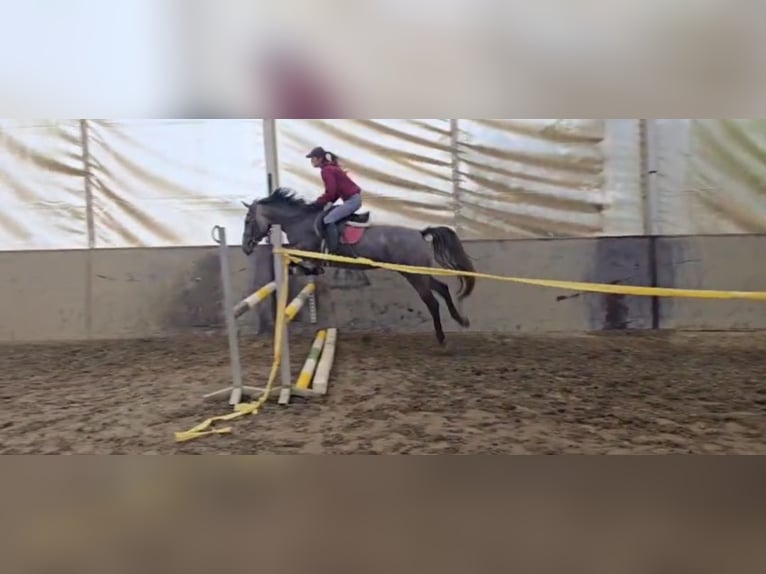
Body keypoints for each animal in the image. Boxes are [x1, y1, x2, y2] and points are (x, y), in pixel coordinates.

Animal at [241, 188, 476, 346]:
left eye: (248, 221)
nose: (245, 247)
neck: (299, 221)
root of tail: (420, 233)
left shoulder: (306, 250)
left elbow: (295, 261)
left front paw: (303, 270)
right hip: (416, 273)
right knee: (443, 289)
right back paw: (461, 320)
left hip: (414, 275)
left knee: (432, 302)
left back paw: (442, 338)